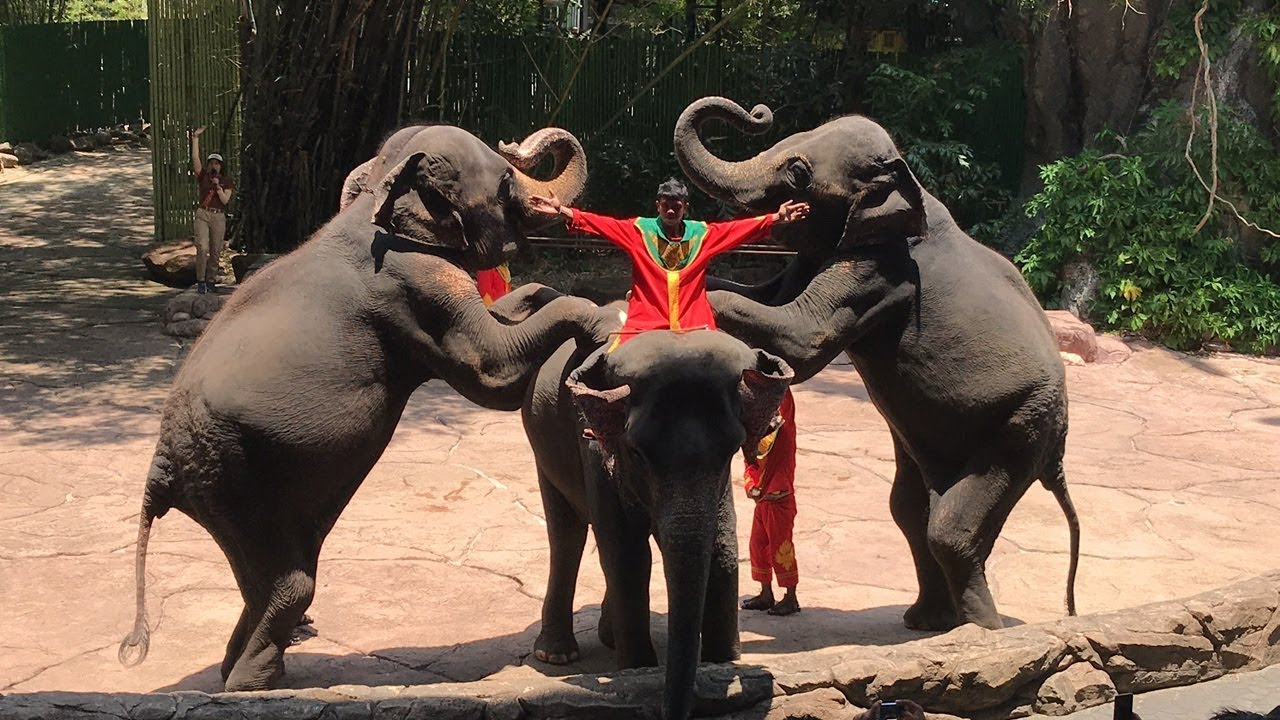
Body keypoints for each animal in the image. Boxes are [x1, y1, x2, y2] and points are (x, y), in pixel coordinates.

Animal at [116, 124, 610, 691]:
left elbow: (508, 316)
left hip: (225, 489)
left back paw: (241, 668)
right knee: (292, 582)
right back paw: (255, 682)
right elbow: (492, 371)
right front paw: (602, 324)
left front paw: (548, 297)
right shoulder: (414, 283)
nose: (514, 147)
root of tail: (159, 468)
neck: (377, 193)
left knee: (260, 581)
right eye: (506, 180)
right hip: (234, 478)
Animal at [520, 328, 792, 720]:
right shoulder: (593, 448)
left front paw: (724, 663)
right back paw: (557, 653)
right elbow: (627, 556)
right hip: (542, 447)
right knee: (566, 533)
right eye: (637, 452)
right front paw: (637, 671)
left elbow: (722, 550)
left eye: (732, 449)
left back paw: (607, 636)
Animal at [674, 97, 1081, 632]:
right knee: (912, 511)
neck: (910, 183)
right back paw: (928, 623)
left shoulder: (880, 271)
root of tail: (1059, 455)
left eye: (799, 172)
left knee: (949, 528)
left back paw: (979, 631)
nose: (758, 111)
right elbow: (766, 298)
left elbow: (801, 338)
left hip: (1022, 425)